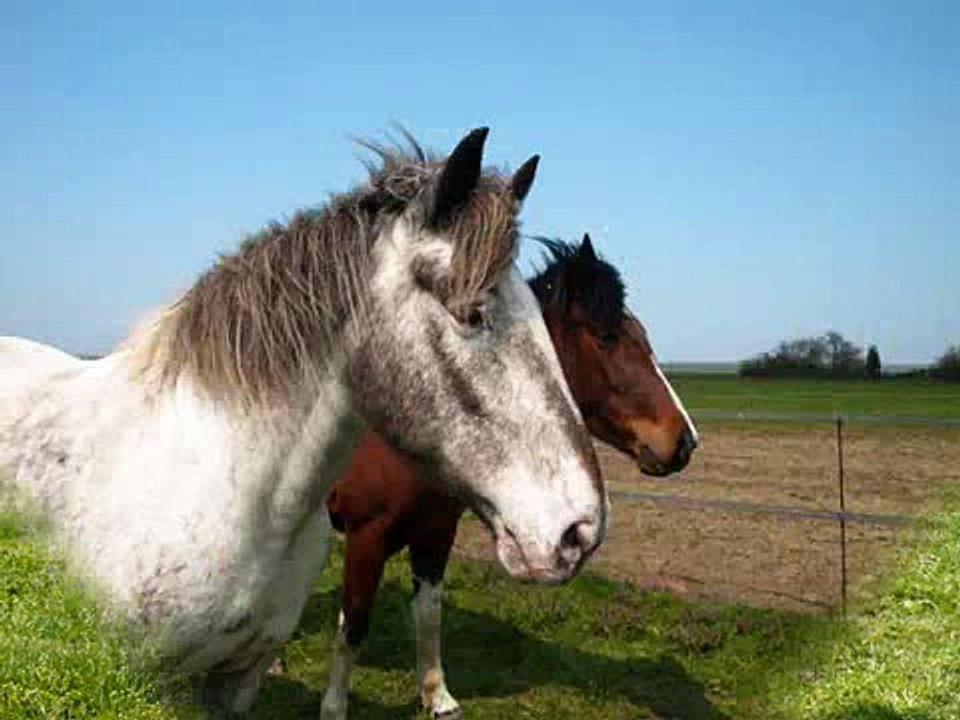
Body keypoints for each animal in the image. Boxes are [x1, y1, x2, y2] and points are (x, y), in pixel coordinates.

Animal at [318, 234, 699, 720]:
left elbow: (429, 613)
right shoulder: (367, 535)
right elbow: (354, 622)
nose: (684, 440)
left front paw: (438, 697)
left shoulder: (435, 532)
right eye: (609, 337)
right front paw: (334, 707)